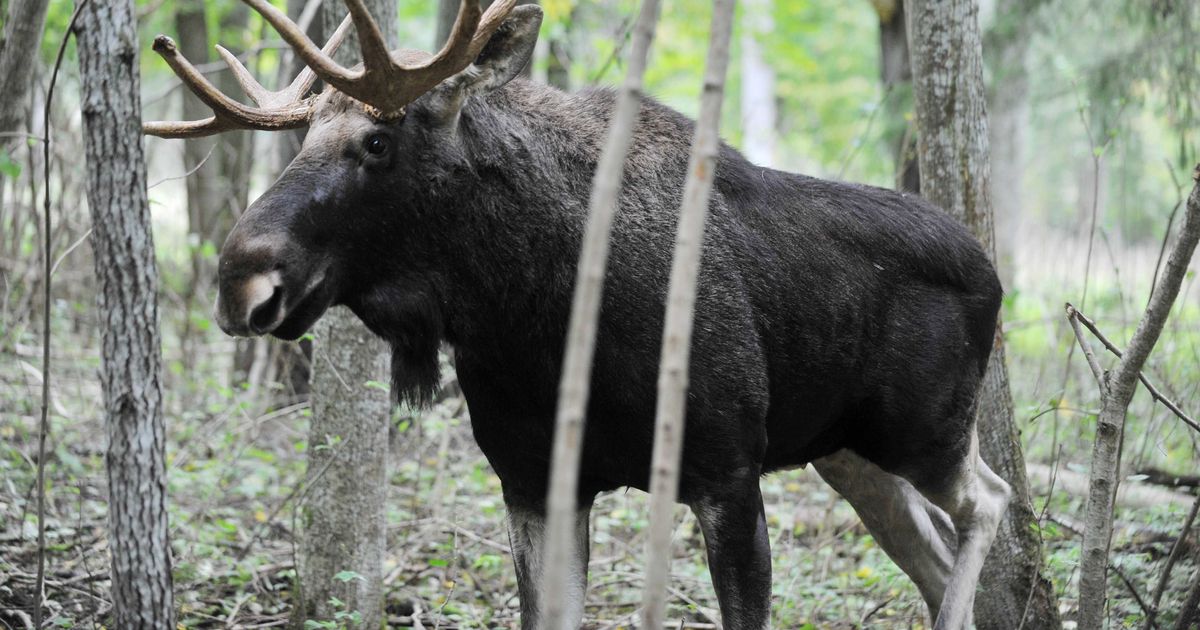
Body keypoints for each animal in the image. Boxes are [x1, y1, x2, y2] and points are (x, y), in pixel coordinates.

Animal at [147, 2, 1012, 624]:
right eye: (302, 142)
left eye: (377, 141)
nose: (240, 281)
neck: (537, 319)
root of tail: (995, 271)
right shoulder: (532, 481)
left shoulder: (726, 471)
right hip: (847, 454)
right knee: (934, 554)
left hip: (923, 433)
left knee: (990, 500)